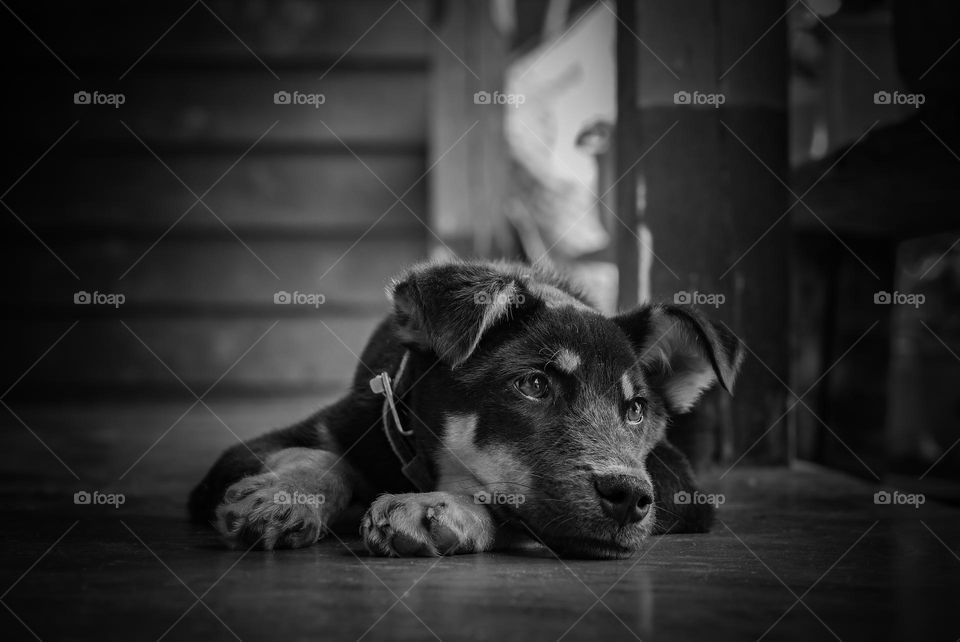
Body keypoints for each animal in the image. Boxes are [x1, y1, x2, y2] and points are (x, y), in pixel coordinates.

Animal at [188, 258, 744, 556]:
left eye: (636, 411)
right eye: (534, 384)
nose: (629, 498)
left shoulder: (675, 482)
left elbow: (507, 506)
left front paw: (435, 510)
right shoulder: (257, 449)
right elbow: (321, 456)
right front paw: (281, 497)